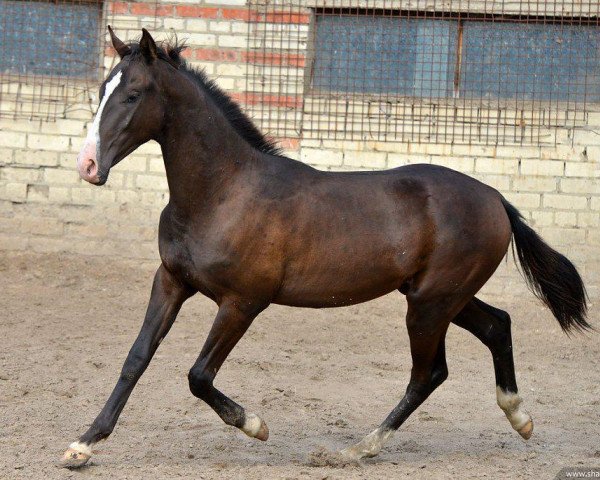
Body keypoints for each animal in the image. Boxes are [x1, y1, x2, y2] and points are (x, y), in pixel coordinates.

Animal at [62, 28, 592, 466]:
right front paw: (83, 445)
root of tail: (496, 198)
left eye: (132, 94)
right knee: (496, 325)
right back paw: (519, 418)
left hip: (430, 304)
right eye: (102, 90)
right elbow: (136, 359)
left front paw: (256, 426)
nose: (88, 166)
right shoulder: (171, 280)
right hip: (440, 297)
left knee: (429, 373)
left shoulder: (242, 302)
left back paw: (356, 450)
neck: (223, 193)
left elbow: (198, 375)